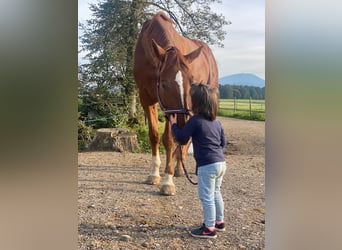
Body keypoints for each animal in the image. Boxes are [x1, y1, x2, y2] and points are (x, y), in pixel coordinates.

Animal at [132, 11, 218, 195]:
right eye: (164, 84)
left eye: (191, 81)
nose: (181, 121)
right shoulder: (147, 99)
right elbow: (154, 135)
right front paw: (154, 174)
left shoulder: (173, 110)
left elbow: (169, 139)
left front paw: (167, 180)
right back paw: (178, 167)